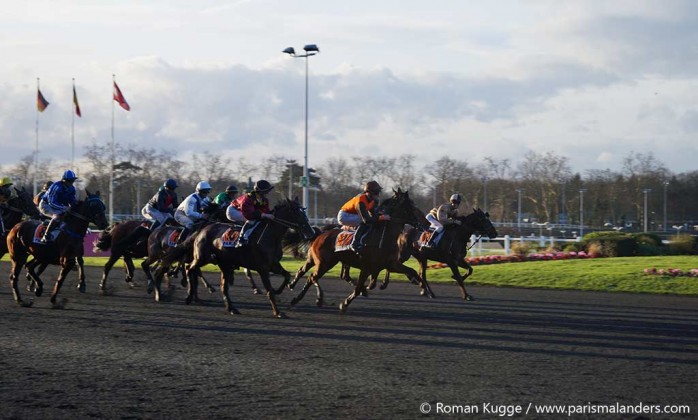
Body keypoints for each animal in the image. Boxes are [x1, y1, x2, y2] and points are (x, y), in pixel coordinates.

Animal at [286, 189, 422, 314]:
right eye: (410, 206)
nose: (421, 223)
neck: (383, 237)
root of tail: (320, 234)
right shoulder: (367, 268)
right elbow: (358, 288)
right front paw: (344, 304)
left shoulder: (390, 264)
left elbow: (412, 271)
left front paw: (422, 287)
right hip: (324, 263)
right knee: (312, 277)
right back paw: (311, 299)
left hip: (317, 260)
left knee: (303, 271)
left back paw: (294, 290)